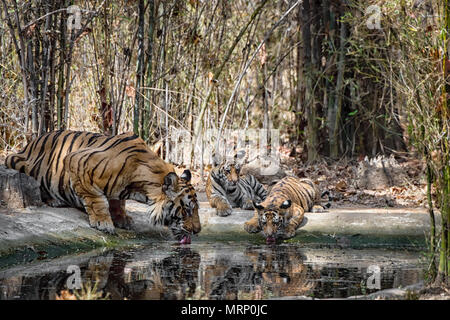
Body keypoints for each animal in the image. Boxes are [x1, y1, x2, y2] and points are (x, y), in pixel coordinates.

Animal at [4, 130, 200, 242]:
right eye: (187, 210)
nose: (198, 231)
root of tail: (27, 146)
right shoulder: (77, 161)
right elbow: (97, 199)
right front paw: (103, 222)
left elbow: (117, 201)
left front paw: (122, 218)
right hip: (18, 162)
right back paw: (55, 200)